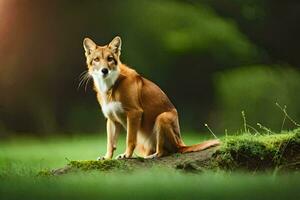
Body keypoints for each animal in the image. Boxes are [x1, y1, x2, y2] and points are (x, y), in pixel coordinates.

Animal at [83, 35, 219, 159]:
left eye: (110, 58)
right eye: (96, 59)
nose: (104, 70)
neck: (111, 86)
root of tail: (181, 144)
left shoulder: (134, 113)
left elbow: (130, 139)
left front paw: (126, 155)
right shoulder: (111, 119)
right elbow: (110, 143)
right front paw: (107, 158)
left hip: (161, 118)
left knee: (164, 152)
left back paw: (151, 157)